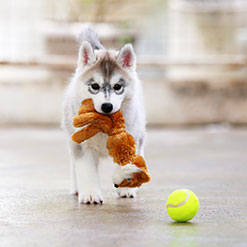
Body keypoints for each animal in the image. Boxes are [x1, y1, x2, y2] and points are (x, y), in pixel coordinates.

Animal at [62, 27, 146, 205]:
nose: (107, 106)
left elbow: (127, 163)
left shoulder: (132, 137)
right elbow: (86, 171)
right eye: (94, 86)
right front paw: (90, 195)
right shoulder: (83, 146)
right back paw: (77, 188)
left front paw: (126, 185)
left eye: (118, 87)